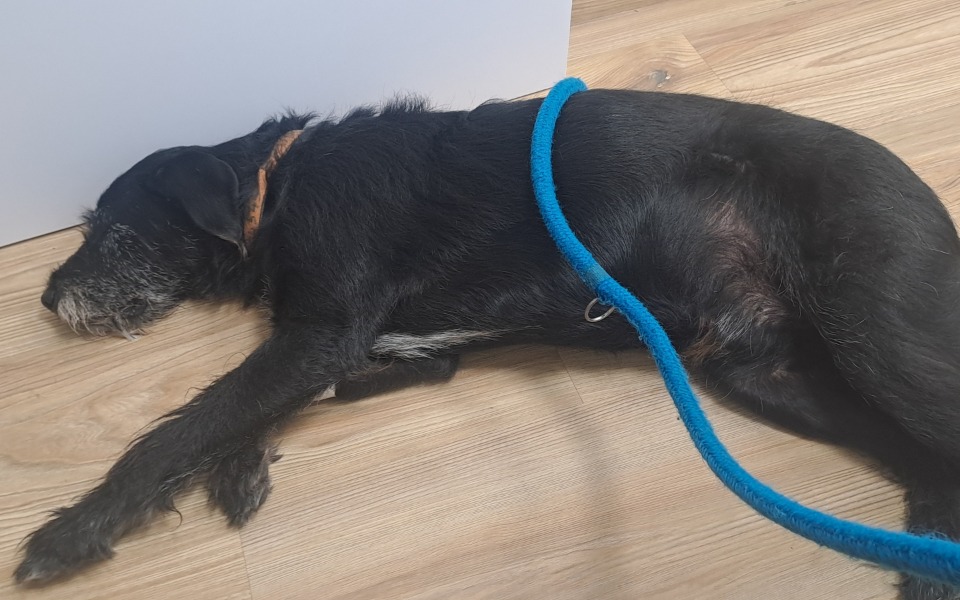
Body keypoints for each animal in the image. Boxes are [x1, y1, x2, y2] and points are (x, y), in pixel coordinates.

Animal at [15, 89, 960, 599]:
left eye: (112, 234)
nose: (49, 296)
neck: (275, 186)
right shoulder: (372, 346)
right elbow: (260, 402)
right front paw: (242, 461)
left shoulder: (324, 330)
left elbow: (186, 425)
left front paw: (71, 532)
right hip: (762, 367)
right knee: (924, 461)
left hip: (876, 333)